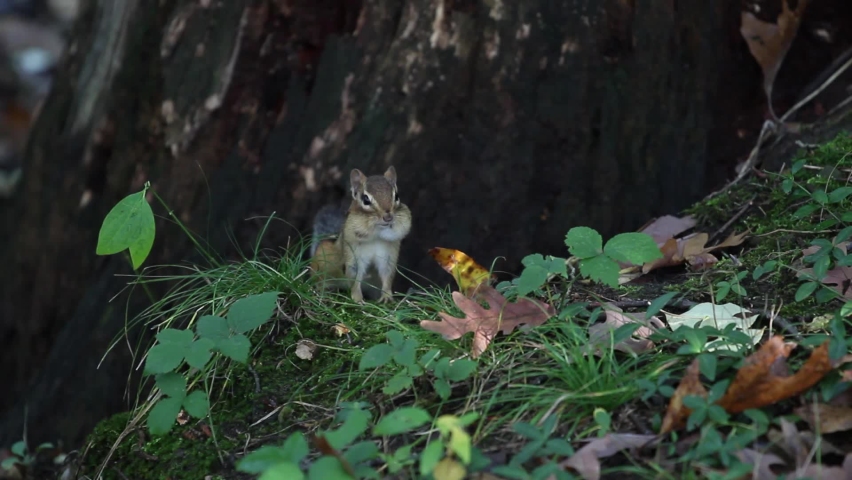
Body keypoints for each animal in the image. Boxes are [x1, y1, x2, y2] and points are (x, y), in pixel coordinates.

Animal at [309, 166, 412, 303]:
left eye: (396, 196)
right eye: (366, 199)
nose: (388, 217)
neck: (377, 233)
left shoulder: (388, 254)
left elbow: (387, 275)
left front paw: (387, 297)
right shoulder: (353, 254)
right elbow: (355, 277)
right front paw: (357, 299)